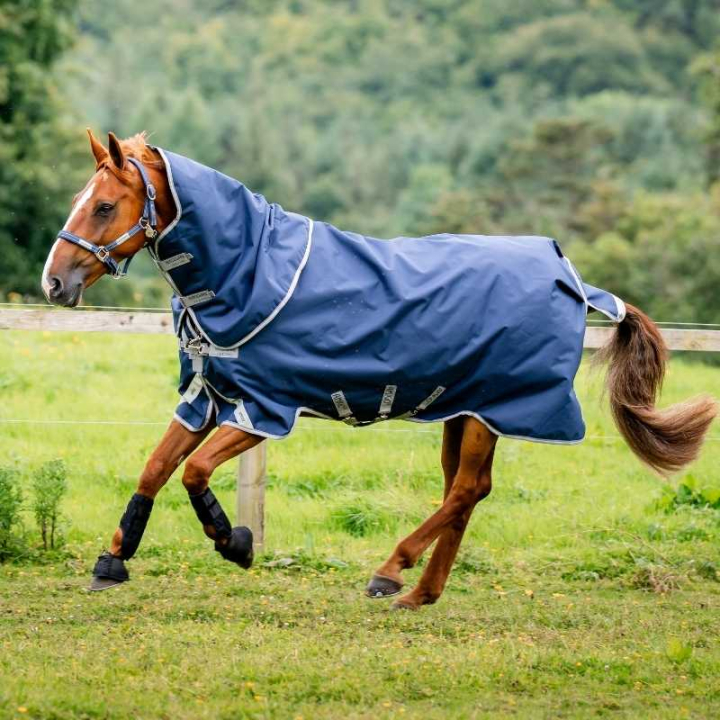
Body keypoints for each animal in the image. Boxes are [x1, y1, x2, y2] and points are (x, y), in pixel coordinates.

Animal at [41, 130, 717, 610]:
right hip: (464, 408)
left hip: (490, 410)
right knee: (467, 490)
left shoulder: (264, 409)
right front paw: (113, 562)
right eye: (78, 201)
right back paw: (420, 593)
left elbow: (194, 472)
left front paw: (235, 543)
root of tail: (571, 277)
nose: (54, 283)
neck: (249, 273)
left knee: (466, 490)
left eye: (104, 206)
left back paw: (392, 571)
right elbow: (156, 468)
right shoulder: (209, 396)